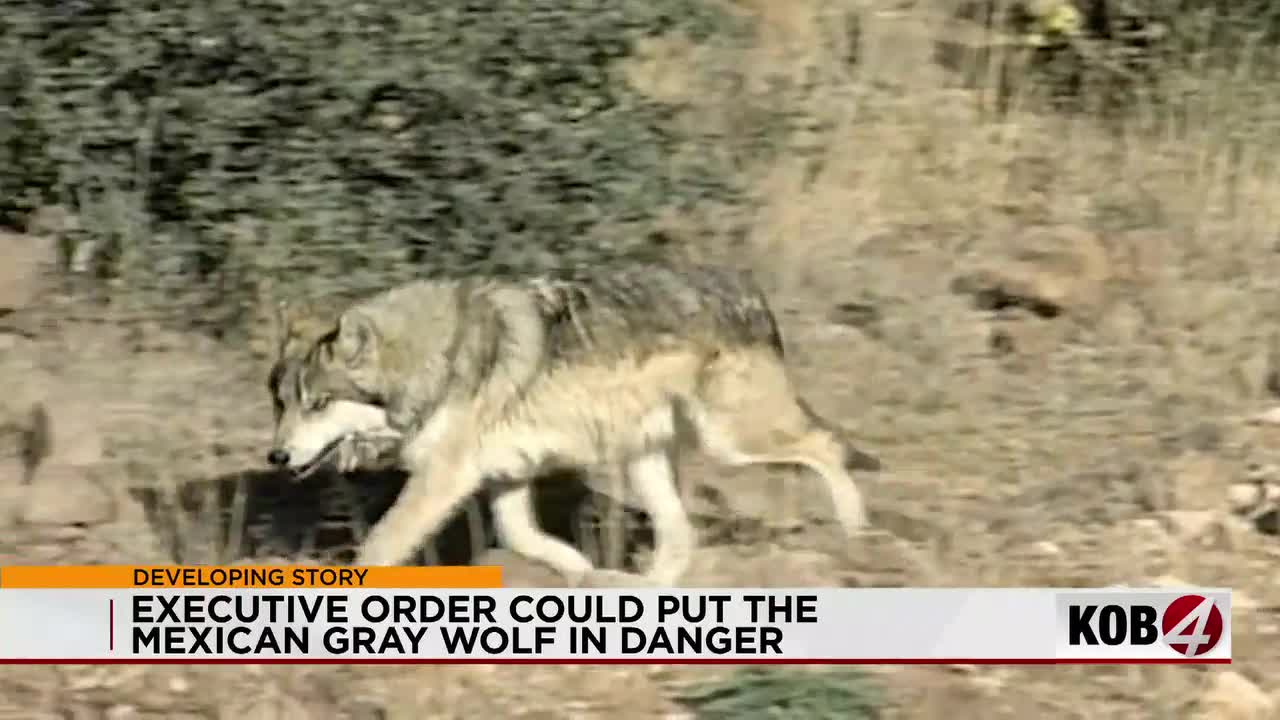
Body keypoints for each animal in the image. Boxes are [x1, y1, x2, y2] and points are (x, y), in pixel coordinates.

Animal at [266, 261, 881, 586]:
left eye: (317, 404)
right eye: (281, 404)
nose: (275, 458)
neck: (435, 359)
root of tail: (749, 290)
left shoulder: (445, 478)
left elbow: (377, 548)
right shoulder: (504, 477)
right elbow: (527, 538)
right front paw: (583, 574)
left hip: (730, 441)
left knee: (828, 446)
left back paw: (856, 536)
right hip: (648, 459)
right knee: (681, 536)